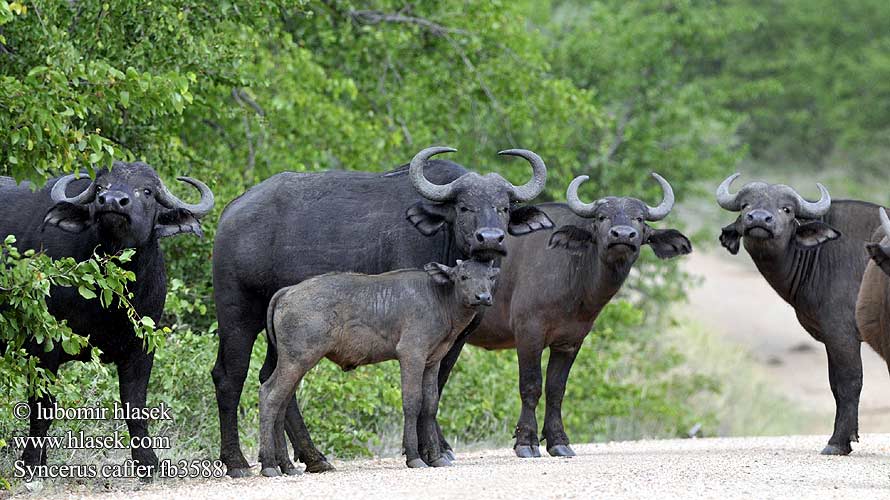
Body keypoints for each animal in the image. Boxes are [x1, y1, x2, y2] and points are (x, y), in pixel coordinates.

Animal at [0, 161, 213, 472]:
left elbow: (135, 406)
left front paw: (148, 464)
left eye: (147, 191)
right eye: (100, 187)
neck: (108, 298)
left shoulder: (141, 349)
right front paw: (31, 463)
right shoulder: (43, 345)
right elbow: (43, 408)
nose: (111, 201)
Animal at [212, 146, 552, 476]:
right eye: (464, 207)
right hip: (237, 315)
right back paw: (239, 462)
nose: (490, 238)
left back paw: (307, 459)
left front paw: (436, 449)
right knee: (231, 377)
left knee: (275, 383)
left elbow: (435, 390)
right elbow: (419, 394)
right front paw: (423, 451)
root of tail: (231, 211)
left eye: (504, 207)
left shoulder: (455, 338)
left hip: (288, 342)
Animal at [434, 173, 692, 458]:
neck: (574, 274)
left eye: (640, 218)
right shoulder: (529, 334)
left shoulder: (570, 341)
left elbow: (556, 389)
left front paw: (559, 440)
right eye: (601, 217)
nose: (623, 235)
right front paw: (526, 441)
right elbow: (531, 385)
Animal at [720, 174, 884, 456]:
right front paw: (848, 438)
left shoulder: (842, 335)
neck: (819, 255)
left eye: (786, 209)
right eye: (745, 205)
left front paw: (837, 442)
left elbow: (849, 382)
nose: (759, 219)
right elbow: (834, 385)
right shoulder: (831, 339)